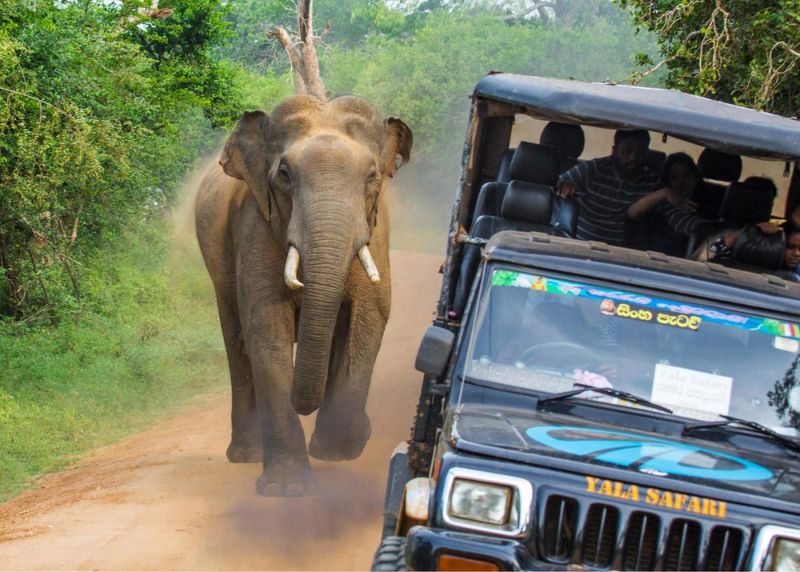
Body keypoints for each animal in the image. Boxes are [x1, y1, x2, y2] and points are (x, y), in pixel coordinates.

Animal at [194, 94, 412, 496]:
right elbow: (266, 329)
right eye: (284, 174)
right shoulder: (255, 223)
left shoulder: (376, 232)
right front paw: (288, 489)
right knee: (236, 341)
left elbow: (369, 318)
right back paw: (246, 454)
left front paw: (342, 447)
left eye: (371, 176)